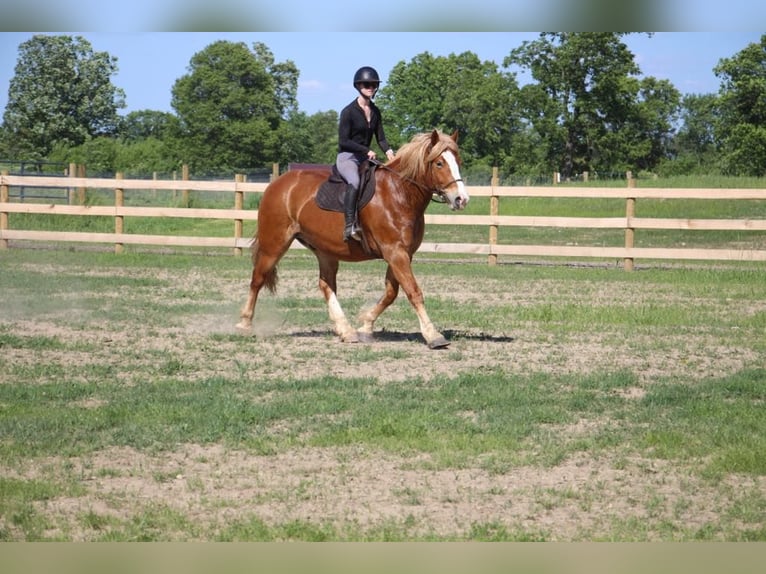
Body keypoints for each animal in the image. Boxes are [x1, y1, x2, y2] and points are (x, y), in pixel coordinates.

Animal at [236, 129, 469, 349]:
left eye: (458, 162)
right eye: (439, 163)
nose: (461, 199)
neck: (399, 193)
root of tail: (277, 184)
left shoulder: (402, 254)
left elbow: (391, 292)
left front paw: (366, 325)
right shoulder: (395, 252)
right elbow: (413, 291)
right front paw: (433, 335)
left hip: (325, 251)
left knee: (326, 285)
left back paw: (346, 330)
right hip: (274, 244)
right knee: (257, 279)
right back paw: (244, 324)